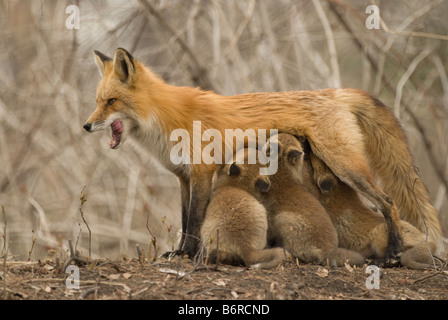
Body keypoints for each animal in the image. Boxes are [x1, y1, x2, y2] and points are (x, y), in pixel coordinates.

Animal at [83, 47, 444, 258]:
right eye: (97, 101)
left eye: (111, 102)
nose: (86, 126)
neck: (165, 118)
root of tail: (336, 92)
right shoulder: (184, 178)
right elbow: (186, 220)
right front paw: (180, 253)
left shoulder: (201, 173)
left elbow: (196, 221)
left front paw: (187, 255)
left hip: (346, 167)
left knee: (388, 201)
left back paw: (395, 249)